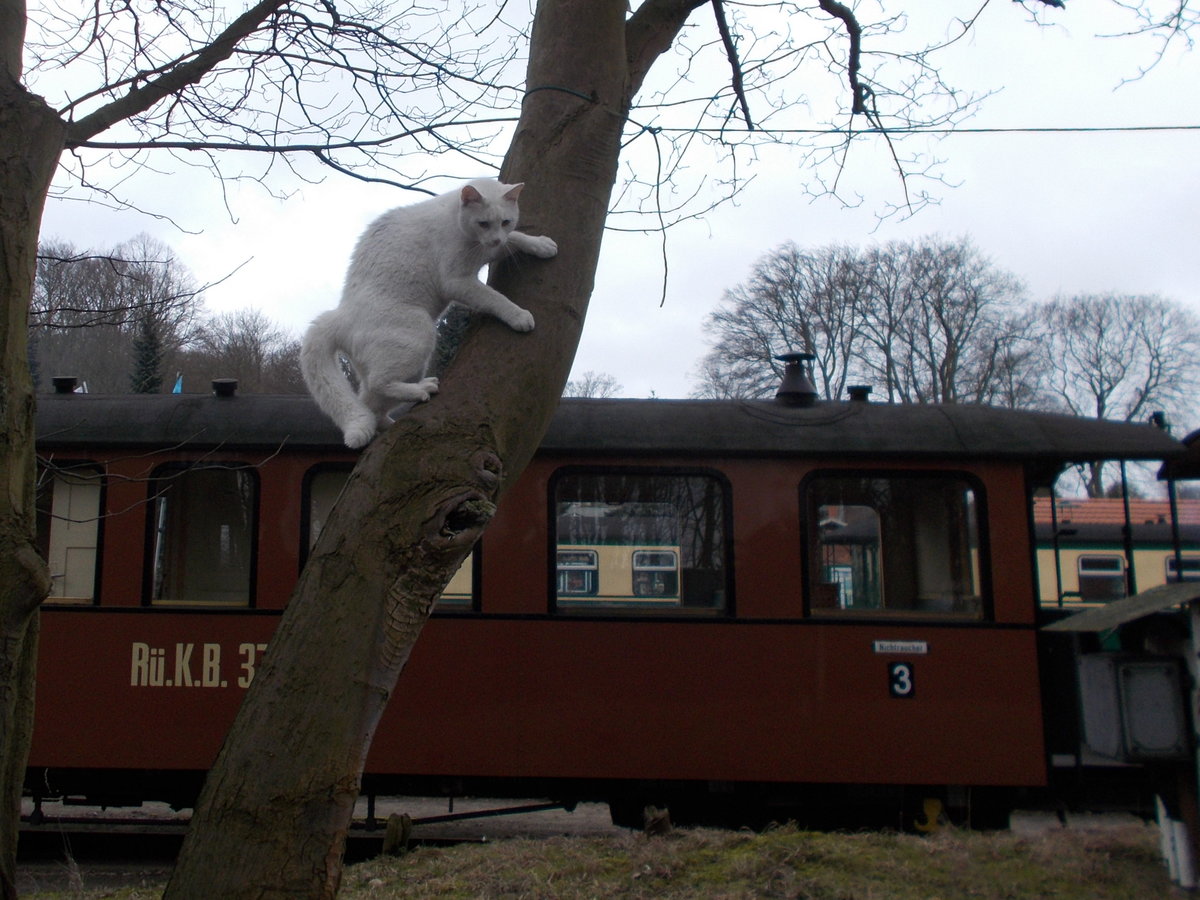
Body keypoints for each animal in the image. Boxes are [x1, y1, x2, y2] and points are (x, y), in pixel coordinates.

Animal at [302, 180, 559, 451]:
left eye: (506, 222)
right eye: (483, 223)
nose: (495, 239)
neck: (459, 225)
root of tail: (340, 314)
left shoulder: (489, 251)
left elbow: (516, 238)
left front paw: (541, 245)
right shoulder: (457, 281)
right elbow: (494, 298)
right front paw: (519, 315)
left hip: (407, 362)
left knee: (369, 401)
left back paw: (388, 423)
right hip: (419, 332)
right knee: (378, 382)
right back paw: (421, 390)